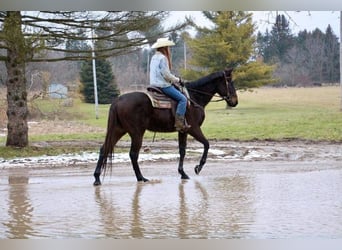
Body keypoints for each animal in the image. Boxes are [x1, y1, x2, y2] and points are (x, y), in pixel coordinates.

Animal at [93, 67, 238, 186]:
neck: (193, 98)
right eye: (230, 82)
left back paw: (97, 178)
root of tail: (117, 101)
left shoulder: (183, 131)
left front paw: (183, 173)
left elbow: (182, 151)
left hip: (119, 130)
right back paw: (141, 178)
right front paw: (198, 167)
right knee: (133, 154)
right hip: (136, 133)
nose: (235, 101)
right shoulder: (194, 128)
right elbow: (207, 144)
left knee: (104, 149)